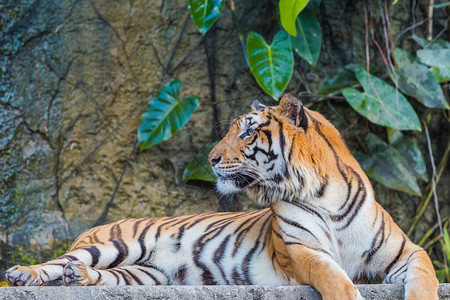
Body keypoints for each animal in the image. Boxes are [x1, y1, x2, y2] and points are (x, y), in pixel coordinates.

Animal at [5, 94, 438, 300]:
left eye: (247, 132)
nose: (211, 159)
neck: (323, 194)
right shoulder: (301, 251)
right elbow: (331, 275)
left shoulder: (407, 251)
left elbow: (426, 277)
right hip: (114, 245)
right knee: (55, 262)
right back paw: (23, 274)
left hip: (145, 274)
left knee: (101, 277)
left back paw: (80, 278)